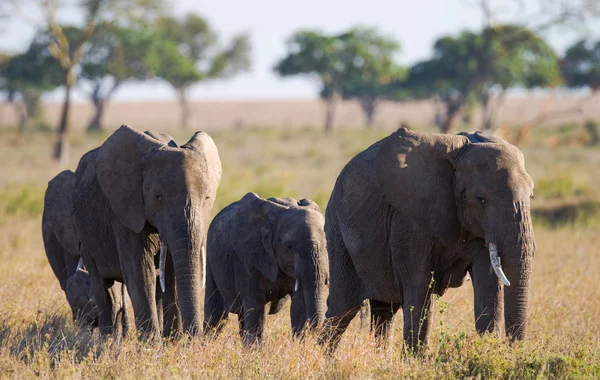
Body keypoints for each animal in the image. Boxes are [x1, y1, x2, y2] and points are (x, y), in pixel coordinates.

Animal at [70, 125, 220, 338]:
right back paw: (106, 340)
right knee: (103, 288)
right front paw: (152, 343)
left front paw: (173, 341)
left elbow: (172, 273)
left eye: (207, 198)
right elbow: (140, 270)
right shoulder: (125, 210)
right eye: (157, 197)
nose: (196, 338)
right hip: (85, 230)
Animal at [205, 193, 328, 344]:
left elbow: (299, 305)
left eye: (326, 245)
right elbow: (256, 305)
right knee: (216, 315)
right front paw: (254, 350)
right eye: (289, 246)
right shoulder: (247, 258)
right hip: (211, 258)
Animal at [322, 128, 536, 354]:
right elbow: (419, 285)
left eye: (531, 196)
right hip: (337, 231)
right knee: (342, 307)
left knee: (384, 310)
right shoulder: (409, 220)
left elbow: (488, 285)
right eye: (481, 199)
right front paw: (414, 360)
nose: (514, 349)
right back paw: (323, 356)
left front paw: (487, 349)